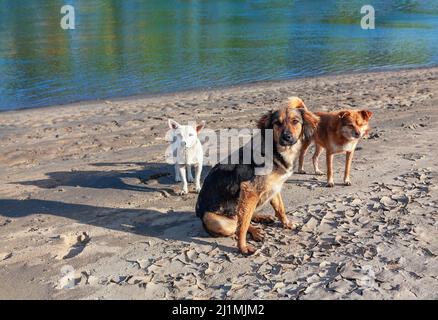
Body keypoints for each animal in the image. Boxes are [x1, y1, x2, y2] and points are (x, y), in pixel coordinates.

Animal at [195, 97, 318, 255]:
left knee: (243, 216)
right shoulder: (249, 190)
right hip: (215, 219)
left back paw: (262, 218)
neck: (277, 151)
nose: (287, 137)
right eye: (277, 123)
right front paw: (243, 247)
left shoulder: (274, 187)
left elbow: (280, 208)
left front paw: (287, 223)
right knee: (238, 222)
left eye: (295, 121)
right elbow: (243, 225)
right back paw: (254, 230)